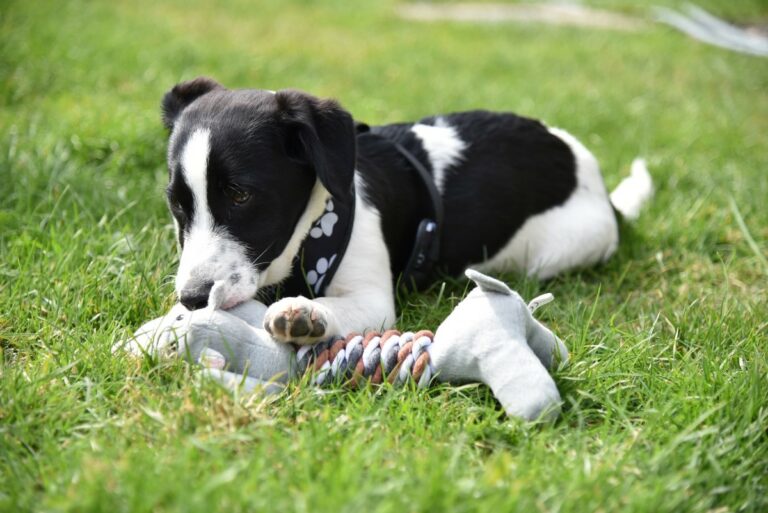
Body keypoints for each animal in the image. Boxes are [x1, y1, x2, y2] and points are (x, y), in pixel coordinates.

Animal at [162, 77, 656, 344]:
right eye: (176, 203)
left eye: (240, 195)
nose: (192, 299)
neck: (309, 232)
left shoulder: (373, 299)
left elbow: (334, 306)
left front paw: (304, 314)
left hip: (556, 252)